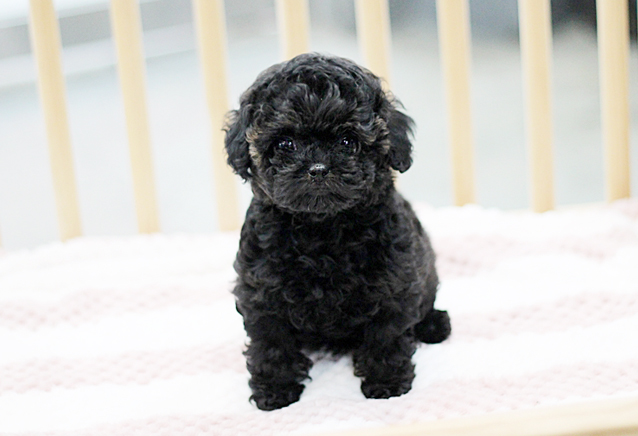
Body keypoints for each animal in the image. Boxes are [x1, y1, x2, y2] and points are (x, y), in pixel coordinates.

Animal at [224, 53, 451, 411]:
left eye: (348, 142)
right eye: (285, 143)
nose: (318, 169)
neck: (322, 229)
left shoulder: (394, 283)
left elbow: (386, 336)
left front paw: (386, 384)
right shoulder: (260, 291)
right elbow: (271, 342)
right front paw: (275, 390)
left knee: (426, 299)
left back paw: (433, 324)